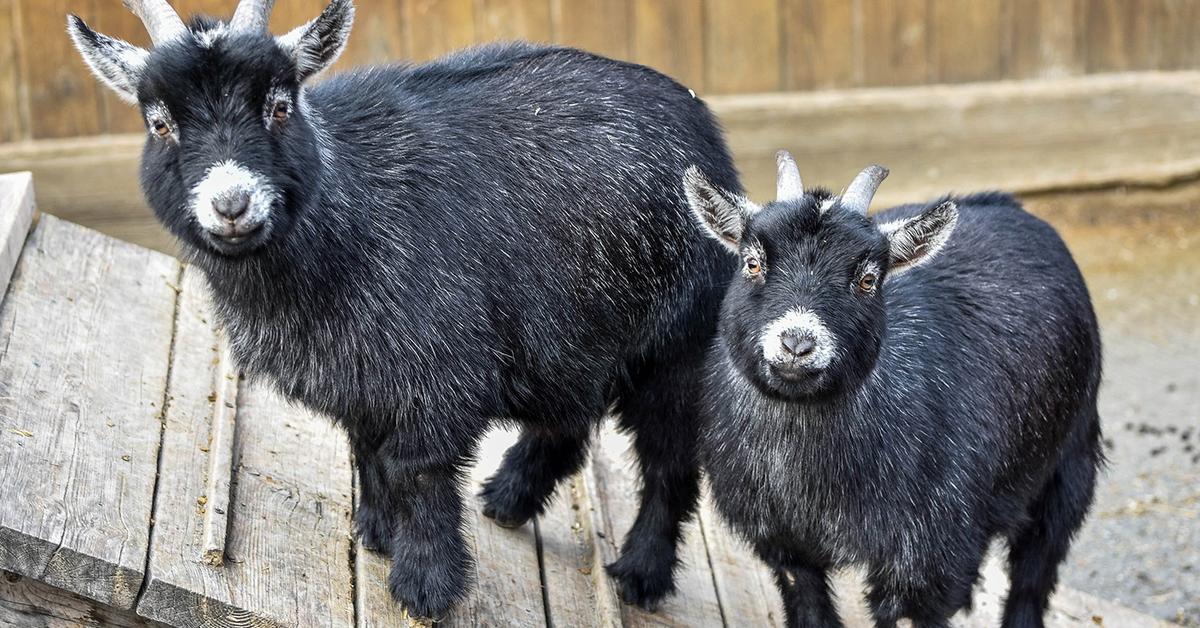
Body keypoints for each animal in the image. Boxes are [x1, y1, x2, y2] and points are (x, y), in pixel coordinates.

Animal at [72, 0, 739, 619]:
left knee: (670, 465)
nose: (231, 205)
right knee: (570, 418)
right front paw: (376, 532)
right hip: (575, 328)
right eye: (160, 122)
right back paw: (508, 497)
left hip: (676, 346)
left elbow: (416, 470)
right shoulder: (363, 378)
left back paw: (641, 573)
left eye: (279, 105)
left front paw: (426, 584)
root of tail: (707, 133)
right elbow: (367, 451)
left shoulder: (435, 375)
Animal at [686, 153, 1104, 628]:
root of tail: (1010, 206)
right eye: (752, 262)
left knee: (1034, 570)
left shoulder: (928, 555)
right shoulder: (785, 545)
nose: (796, 344)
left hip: (1069, 465)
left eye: (868, 279)